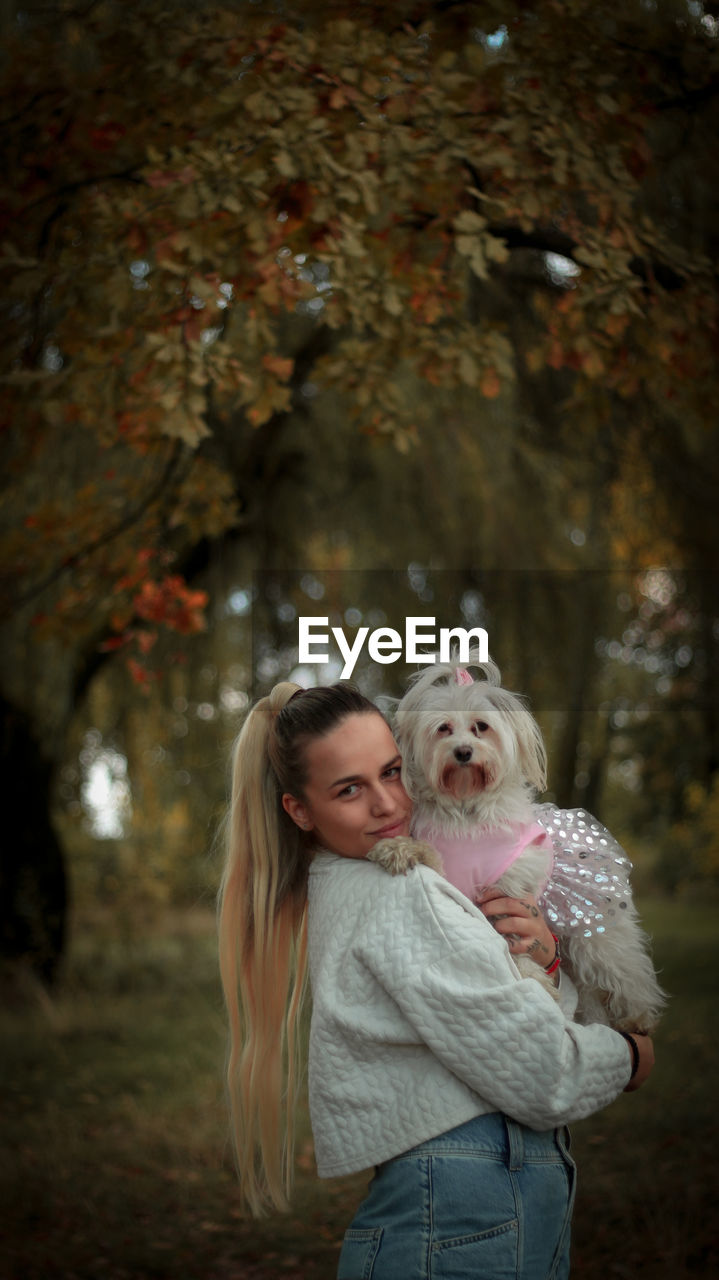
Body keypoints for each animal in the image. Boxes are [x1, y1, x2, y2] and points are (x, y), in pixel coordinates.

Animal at [368, 655, 665, 1034]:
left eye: (481, 727)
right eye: (443, 729)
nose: (463, 752)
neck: (468, 811)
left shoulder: (511, 892)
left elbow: (517, 943)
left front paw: (532, 978)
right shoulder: (450, 872)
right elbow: (426, 853)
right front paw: (396, 848)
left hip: (597, 938)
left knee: (626, 972)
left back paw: (638, 1016)